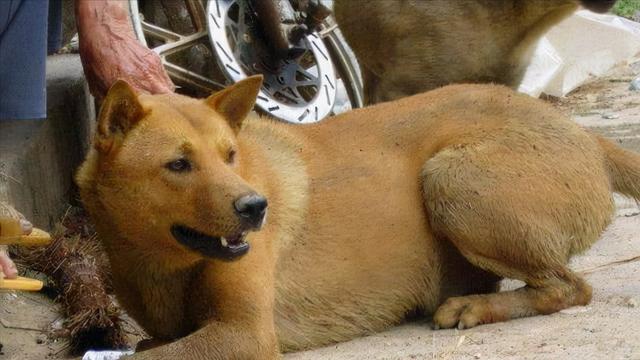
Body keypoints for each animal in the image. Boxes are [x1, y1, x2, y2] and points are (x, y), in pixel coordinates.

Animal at [76, 75, 640, 358]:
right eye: (178, 164)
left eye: (230, 155)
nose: (256, 207)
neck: (159, 262)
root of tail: (584, 133)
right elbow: (147, 345)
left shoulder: (244, 334)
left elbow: (145, 359)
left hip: (450, 180)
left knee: (570, 288)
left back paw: (473, 307)